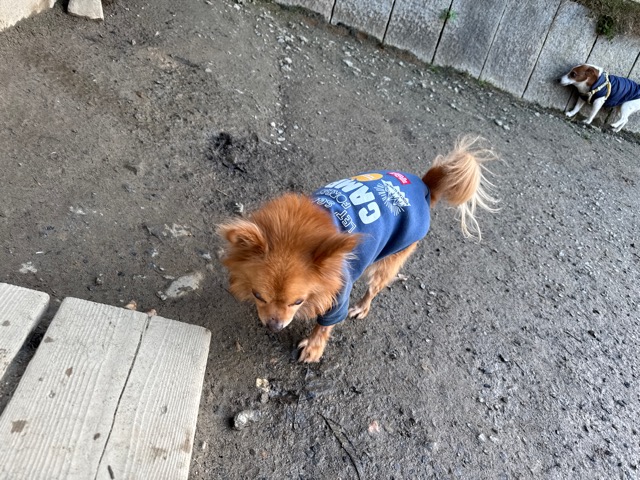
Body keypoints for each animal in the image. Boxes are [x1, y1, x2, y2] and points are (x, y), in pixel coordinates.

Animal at [218, 136, 498, 362]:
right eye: (258, 295)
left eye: (298, 302)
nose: (275, 326)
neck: (293, 231)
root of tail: (424, 186)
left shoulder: (337, 294)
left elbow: (324, 325)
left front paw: (314, 348)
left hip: (390, 258)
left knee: (374, 288)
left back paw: (362, 307)